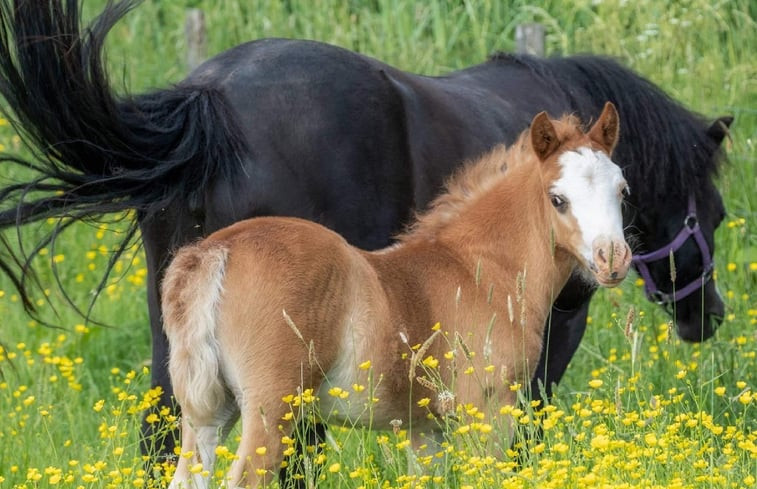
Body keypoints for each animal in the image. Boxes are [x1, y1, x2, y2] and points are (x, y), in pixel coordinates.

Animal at [167, 101, 632, 486]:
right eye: (558, 198)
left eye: (622, 190)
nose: (613, 259)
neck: (481, 270)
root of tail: (218, 250)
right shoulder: (489, 411)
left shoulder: (426, 429)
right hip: (270, 411)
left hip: (207, 415)